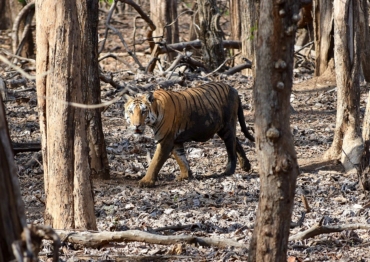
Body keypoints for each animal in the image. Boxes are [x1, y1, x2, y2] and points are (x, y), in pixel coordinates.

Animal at [124, 82, 254, 186]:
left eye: (143, 111)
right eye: (131, 111)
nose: (136, 125)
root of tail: (233, 89)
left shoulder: (165, 140)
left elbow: (155, 162)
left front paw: (146, 181)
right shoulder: (175, 140)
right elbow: (180, 158)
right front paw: (185, 175)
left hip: (227, 125)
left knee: (231, 147)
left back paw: (228, 171)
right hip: (221, 128)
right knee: (236, 140)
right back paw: (246, 165)